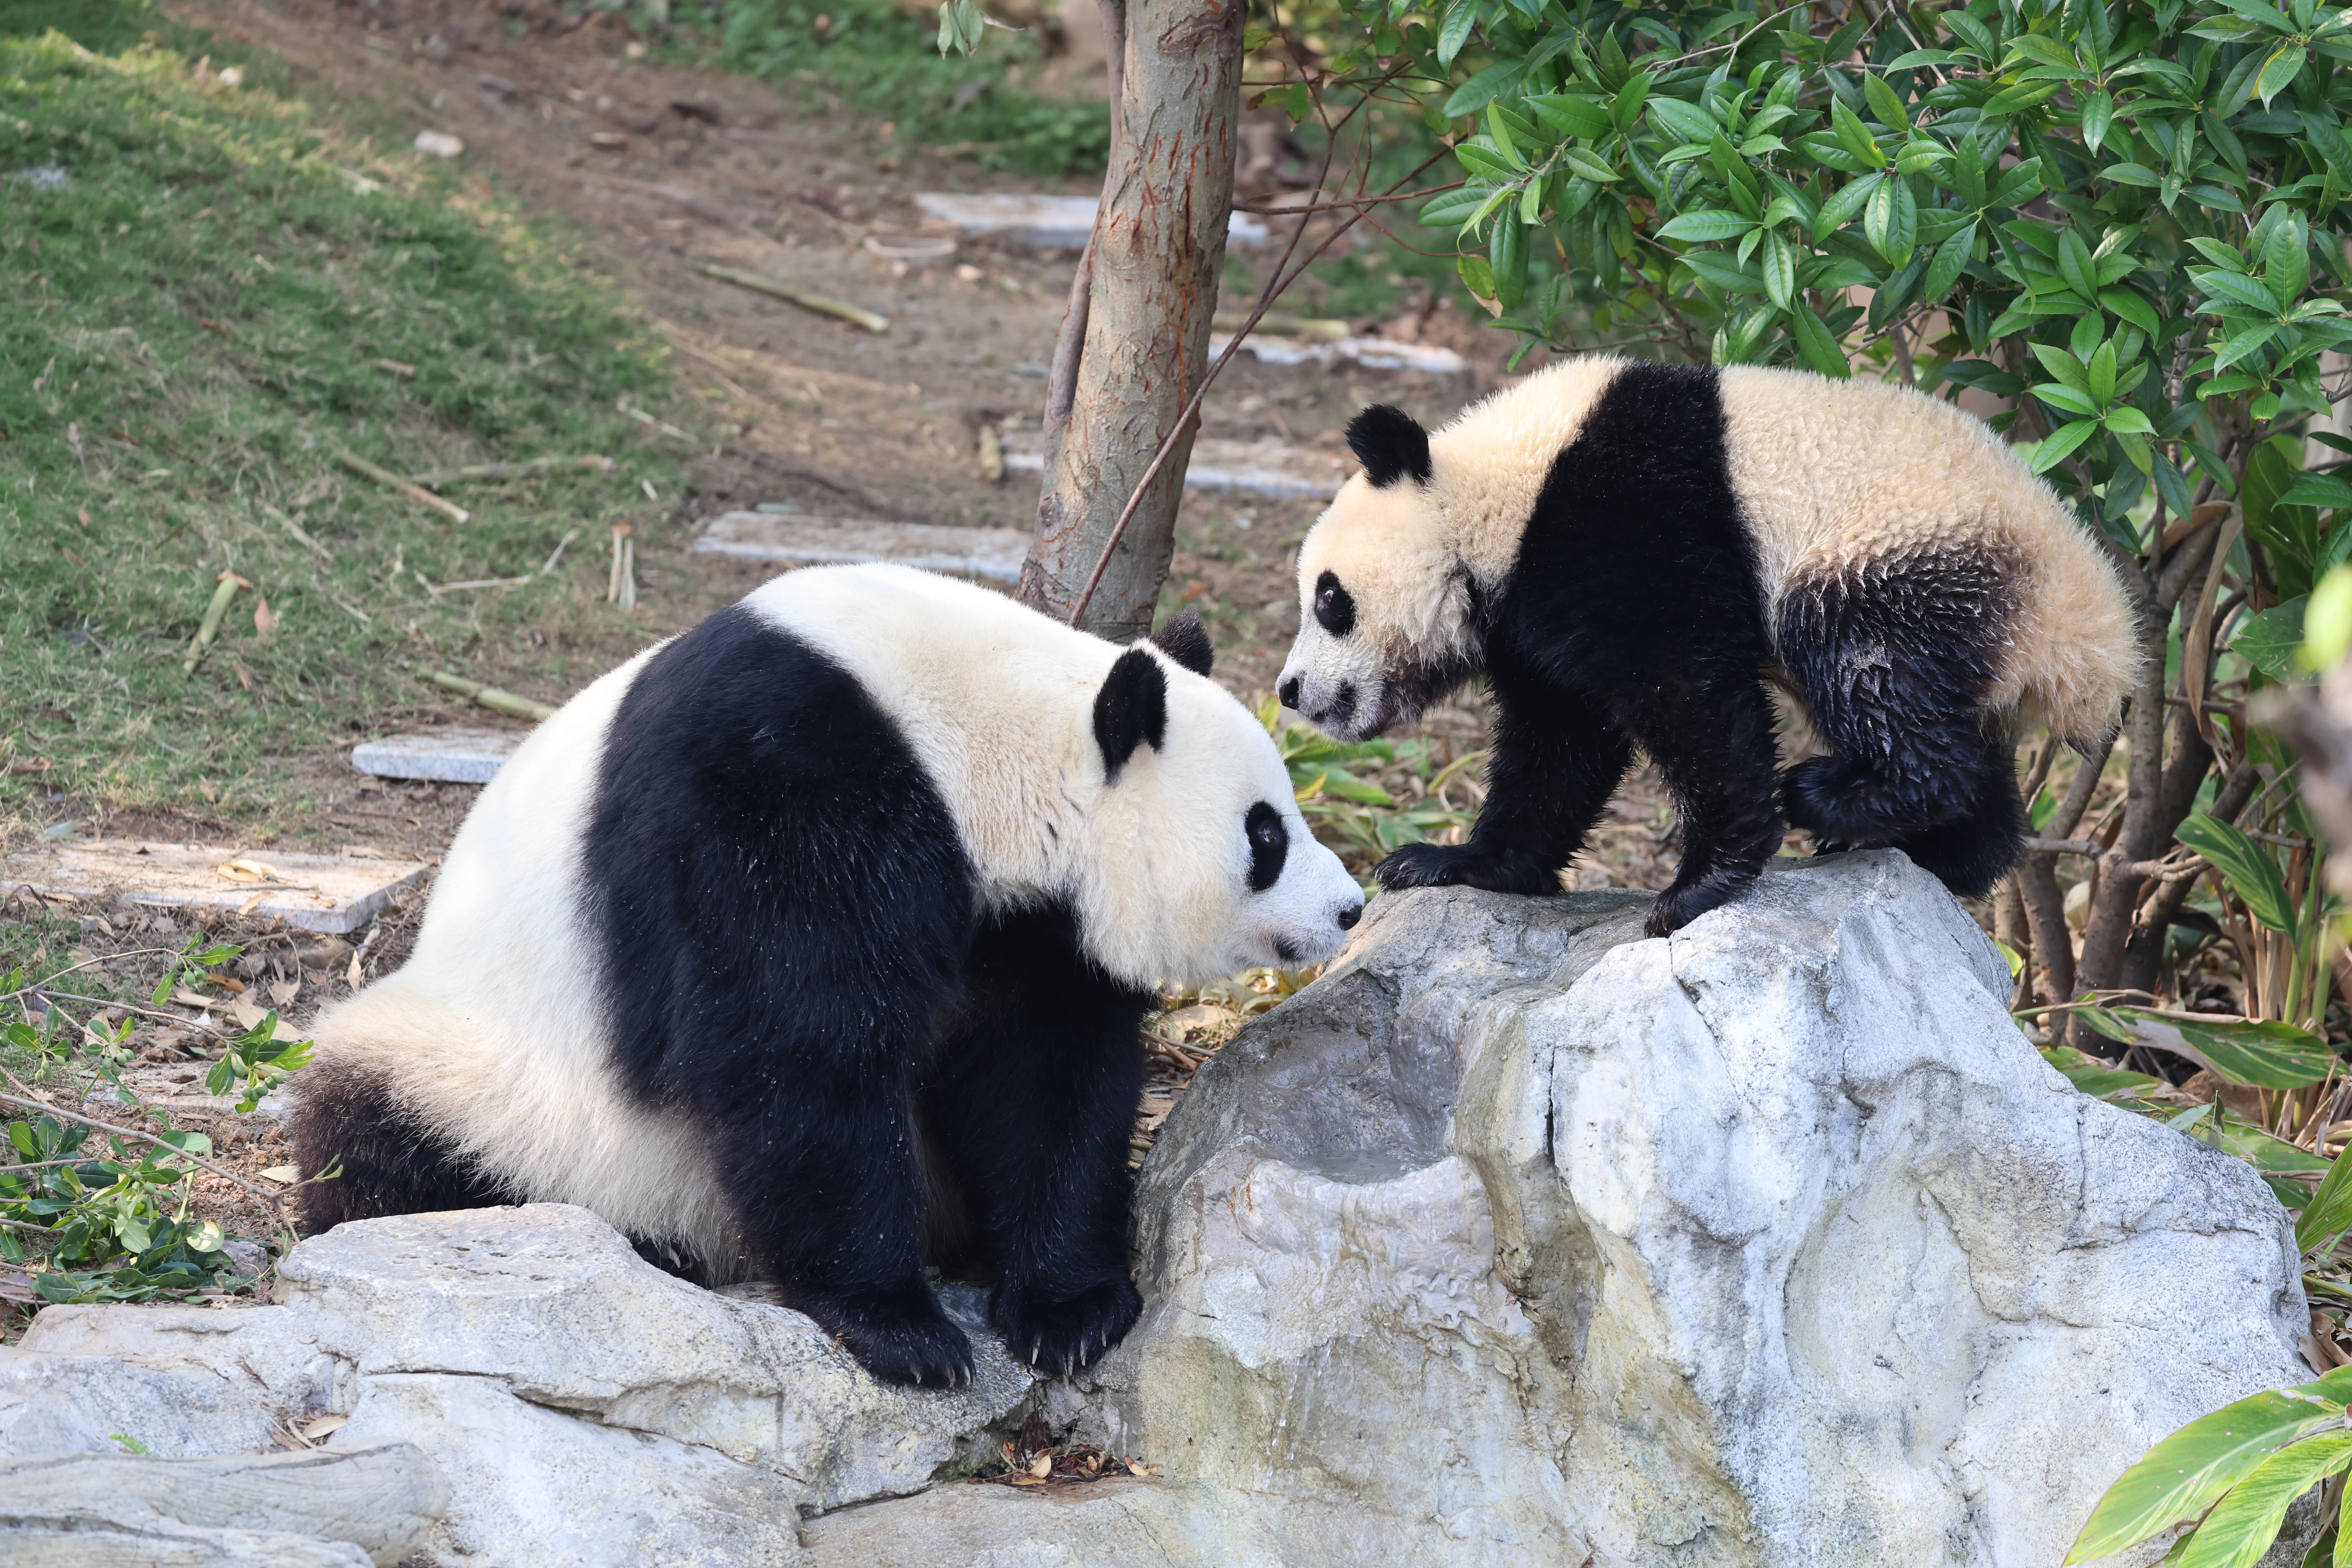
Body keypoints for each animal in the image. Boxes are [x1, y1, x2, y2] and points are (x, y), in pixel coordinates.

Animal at [292, 563, 1364, 1388]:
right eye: (1266, 833)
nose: (1349, 908)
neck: (971, 739)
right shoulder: (772, 786)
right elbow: (798, 1050)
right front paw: (901, 1329)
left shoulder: (1024, 922)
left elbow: (1044, 1070)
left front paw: (1068, 1308)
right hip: (498, 1069)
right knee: (384, 1140)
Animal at [1276, 357, 2138, 938]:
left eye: (1329, 599)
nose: (1289, 691)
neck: (1493, 497)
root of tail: (2095, 628)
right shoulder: (1534, 612)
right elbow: (1560, 747)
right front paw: (1449, 864)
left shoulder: (1624, 522)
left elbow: (1689, 694)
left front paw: (1699, 885)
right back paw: (1949, 851)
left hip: (1898, 558)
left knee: (1868, 670)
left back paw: (1833, 797)